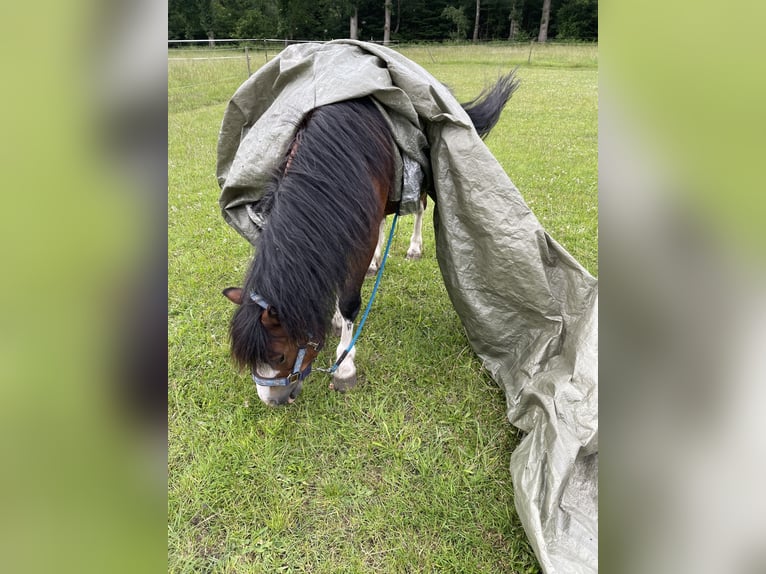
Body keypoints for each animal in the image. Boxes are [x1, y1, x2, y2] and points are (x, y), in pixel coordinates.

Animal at [223, 72, 519, 406]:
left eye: (279, 357)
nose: (272, 400)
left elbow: (350, 301)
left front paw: (344, 366)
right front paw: (336, 319)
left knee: (419, 208)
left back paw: (414, 248)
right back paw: (377, 262)